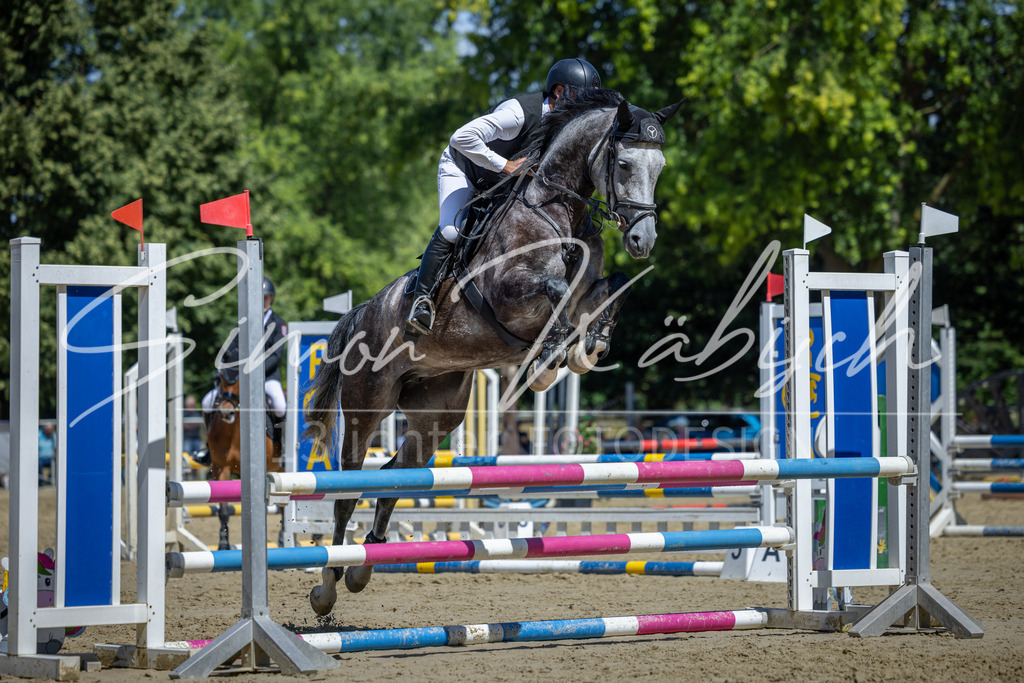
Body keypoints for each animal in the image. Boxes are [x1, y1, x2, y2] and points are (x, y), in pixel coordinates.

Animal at [303, 89, 681, 616]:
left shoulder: (588, 288)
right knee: (348, 487)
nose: (643, 240)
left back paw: (365, 565)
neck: (558, 211)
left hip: (436, 414)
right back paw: (328, 585)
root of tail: (364, 311)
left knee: (396, 477)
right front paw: (548, 359)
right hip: (366, 404)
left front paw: (591, 344)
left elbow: (612, 285)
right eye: (624, 163)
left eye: (660, 165)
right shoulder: (507, 294)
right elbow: (554, 289)